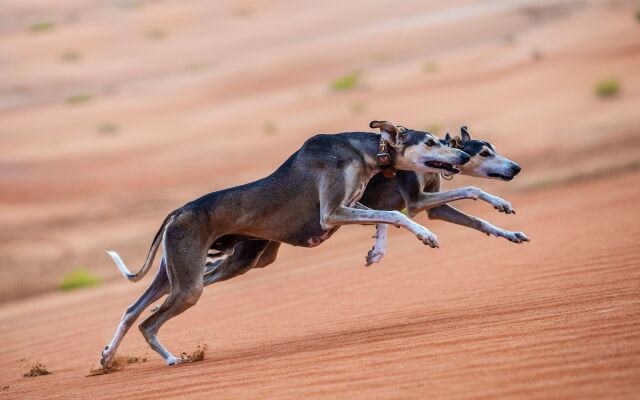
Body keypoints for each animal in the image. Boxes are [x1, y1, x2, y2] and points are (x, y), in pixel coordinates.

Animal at [102, 119, 516, 366]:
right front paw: (426, 236)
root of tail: (177, 211)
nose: (460, 154)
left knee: (131, 309)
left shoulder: (355, 205)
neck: (365, 151)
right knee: (148, 321)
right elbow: (401, 215)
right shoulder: (334, 213)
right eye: (429, 142)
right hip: (191, 283)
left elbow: (392, 216)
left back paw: (107, 357)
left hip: (195, 270)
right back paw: (171, 359)